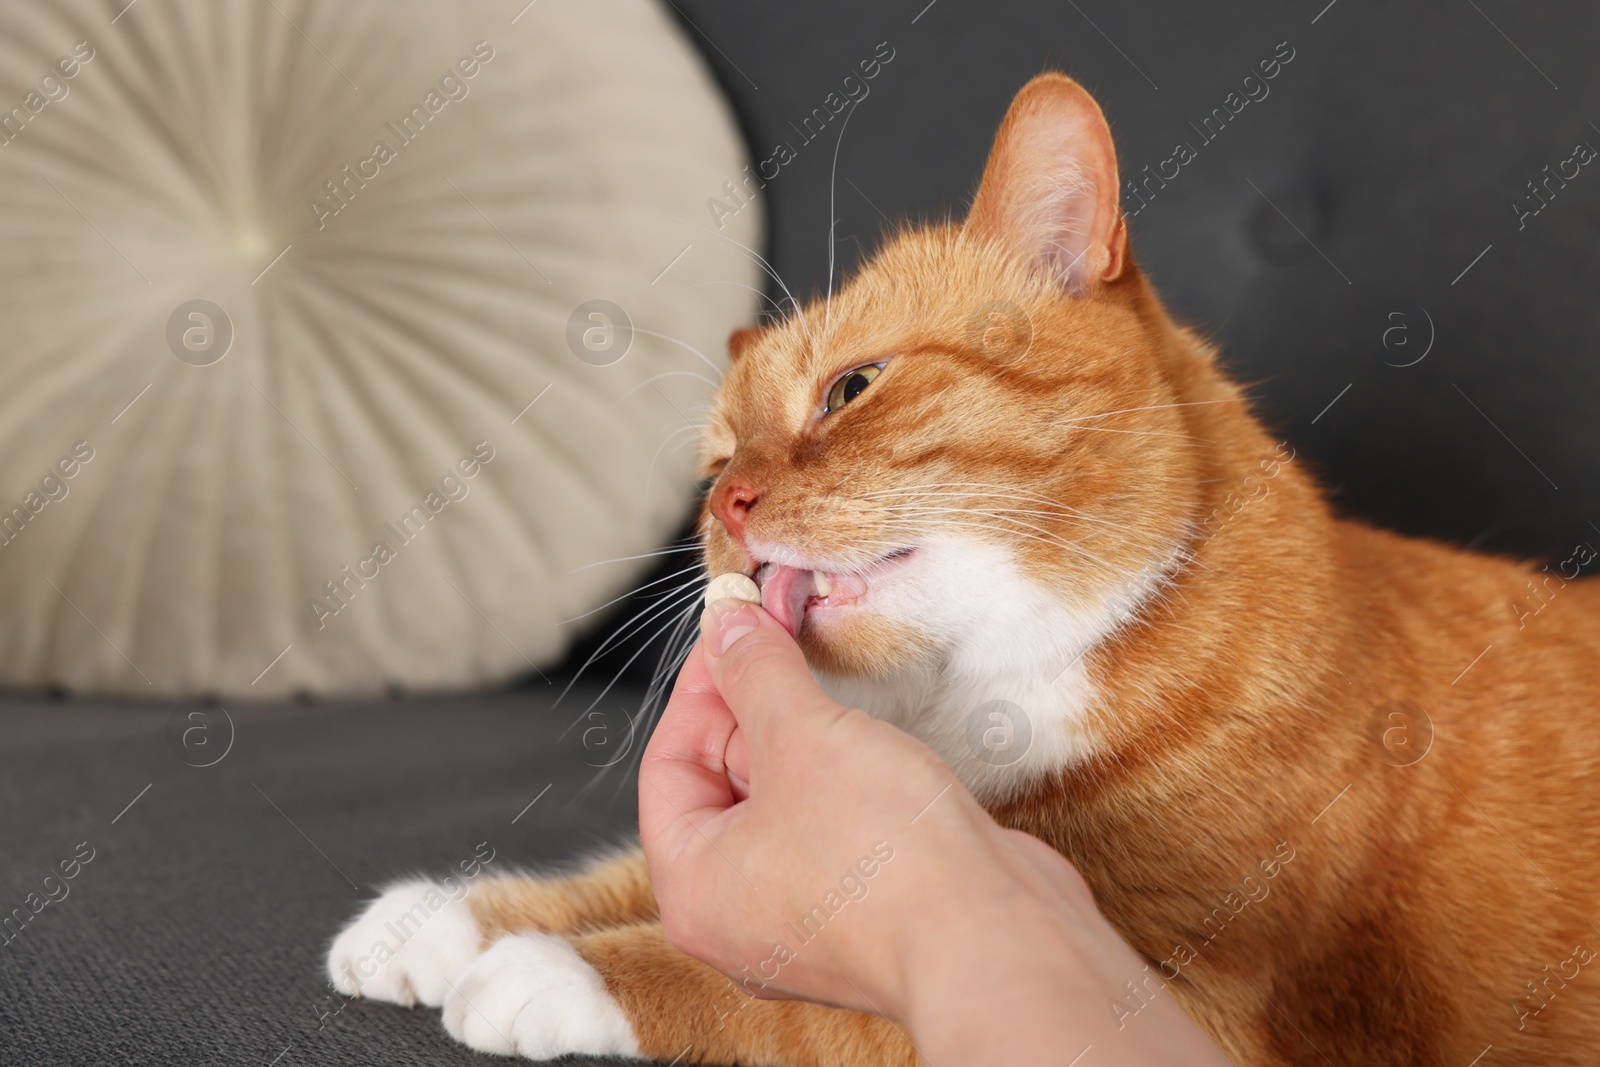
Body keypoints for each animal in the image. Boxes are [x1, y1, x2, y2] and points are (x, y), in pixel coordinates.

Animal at [324, 75, 1600, 1067]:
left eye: (850, 388)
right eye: (716, 460)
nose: (728, 511)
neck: (968, 705)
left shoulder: (1215, 1013)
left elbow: (816, 1001)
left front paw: (564, 971)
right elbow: (625, 869)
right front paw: (454, 917)